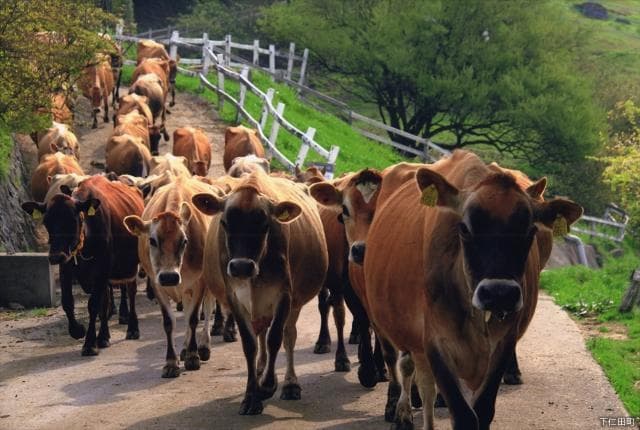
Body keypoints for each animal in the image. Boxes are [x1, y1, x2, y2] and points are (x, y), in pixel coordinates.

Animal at [21, 175, 144, 355]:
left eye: (73, 220)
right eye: (46, 222)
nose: (56, 256)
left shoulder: (102, 269)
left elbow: (93, 305)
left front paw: (89, 343)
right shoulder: (66, 268)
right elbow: (68, 302)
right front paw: (78, 330)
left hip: (131, 265)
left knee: (131, 292)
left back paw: (132, 329)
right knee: (105, 301)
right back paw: (104, 337)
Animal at [124, 175, 219, 377]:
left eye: (184, 241)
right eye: (152, 240)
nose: (169, 277)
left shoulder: (199, 282)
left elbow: (193, 318)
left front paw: (193, 356)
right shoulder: (157, 283)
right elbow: (169, 322)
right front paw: (171, 362)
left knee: (206, 310)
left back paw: (203, 346)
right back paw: (183, 349)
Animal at [192, 169, 328, 414]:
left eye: (265, 224)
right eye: (225, 222)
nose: (241, 266)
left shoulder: (285, 295)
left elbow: (276, 338)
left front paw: (267, 386)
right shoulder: (234, 298)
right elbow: (250, 344)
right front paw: (251, 395)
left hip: (293, 302)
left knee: (288, 335)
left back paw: (289, 383)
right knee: (261, 334)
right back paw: (261, 368)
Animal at [362, 150, 582, 429]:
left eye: (530, 231)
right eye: (464, 229)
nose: (499, 293)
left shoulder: (502, 344)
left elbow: (483, 410)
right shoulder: (434, 341)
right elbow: (462, 414)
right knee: (413, 374)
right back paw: (401, 412)